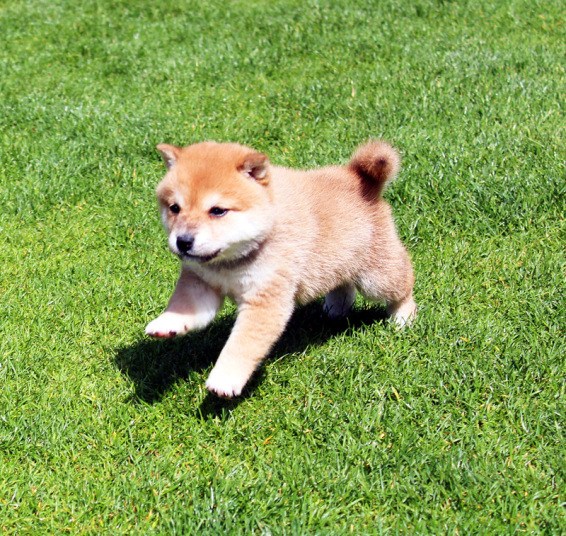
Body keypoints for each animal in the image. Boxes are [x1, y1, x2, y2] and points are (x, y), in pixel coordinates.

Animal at [146, 140, 418, 396]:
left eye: (218, 211)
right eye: (174, 208)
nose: (183, 241)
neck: (230, 263)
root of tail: (360, 177)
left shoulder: (266, 300)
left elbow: (241, 345)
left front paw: (225, 378)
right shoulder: (202, 282)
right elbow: (186, 306)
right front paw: (166, 323)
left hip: (376, 277)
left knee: (403, 284)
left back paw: (403, 317)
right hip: (338, 259)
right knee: (343, 284)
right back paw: (336, 308)